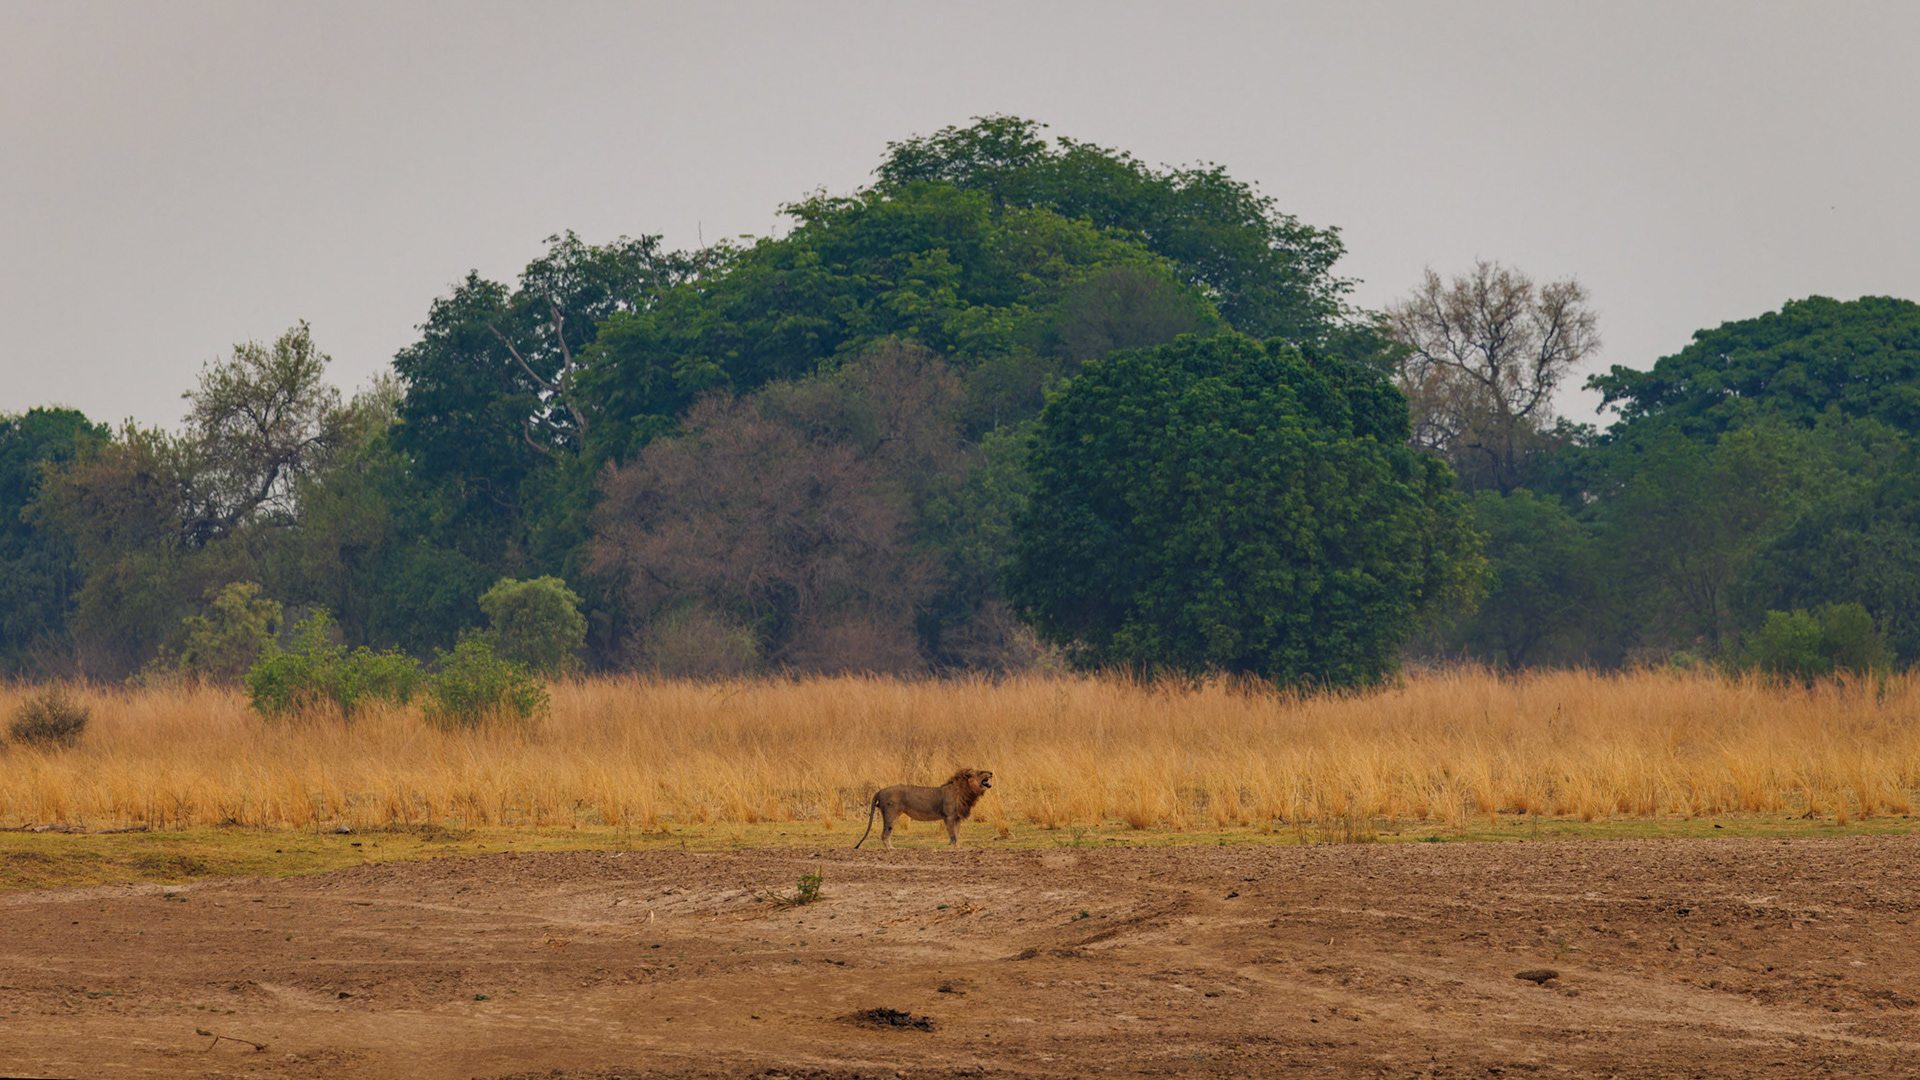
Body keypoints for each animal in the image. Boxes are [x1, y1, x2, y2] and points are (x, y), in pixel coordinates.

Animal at [853, 768, 994, 850]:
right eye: (981, 772)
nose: (991, 772)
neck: (966, 791)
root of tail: (881, 790)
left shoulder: (957, 817)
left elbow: (956, 833)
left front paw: (956, 846)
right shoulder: (948, 816)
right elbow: (952, 834)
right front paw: (954, 846)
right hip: (890, 814)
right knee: (884, 834)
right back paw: (892, 849)